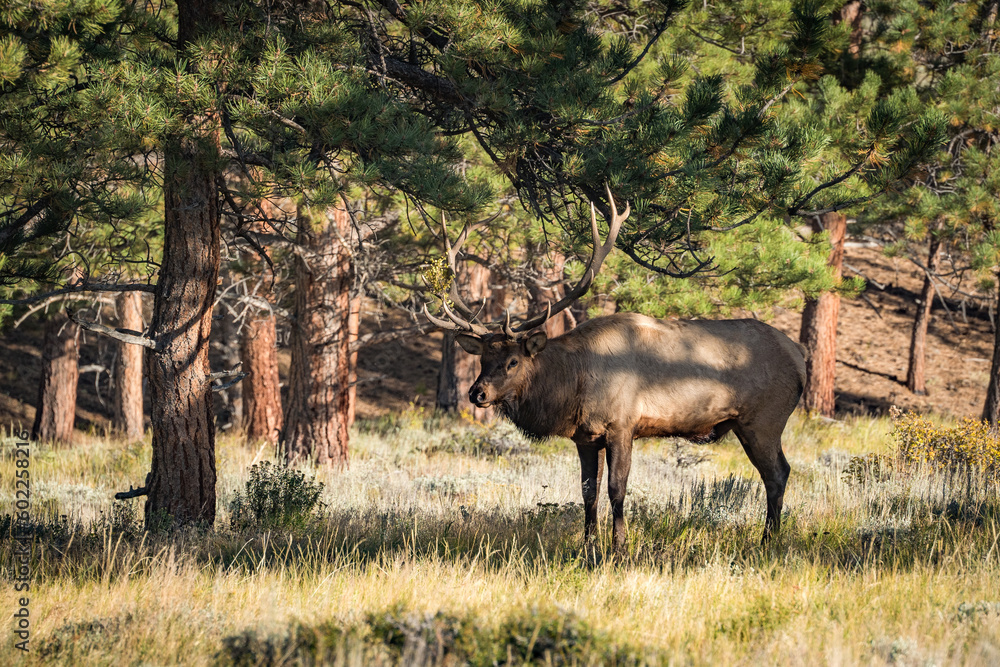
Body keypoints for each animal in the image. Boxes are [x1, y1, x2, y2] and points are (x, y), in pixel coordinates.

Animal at [424, 185, 807, 549]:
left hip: (764, 420)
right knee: (779, 472)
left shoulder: (623, 425)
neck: (573, 386)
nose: (476, 393)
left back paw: (768, 539)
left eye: (513, 360)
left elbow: (617, 489)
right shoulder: (585, 437)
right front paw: (588, 543)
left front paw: (620, 545)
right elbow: (588, 492)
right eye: (483, 359)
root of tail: (801, 356)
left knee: (778, 474)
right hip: (749, 424)